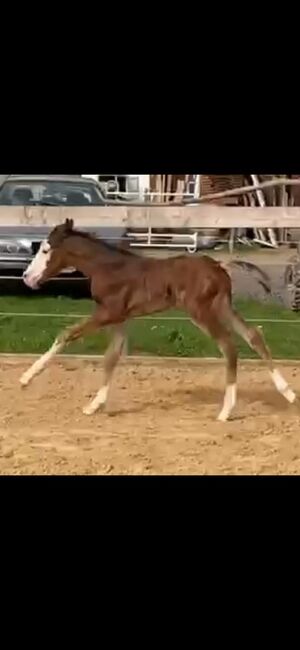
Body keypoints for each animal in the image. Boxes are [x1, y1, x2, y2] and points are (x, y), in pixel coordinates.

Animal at [20, 218, 296, 420]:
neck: (108, 268)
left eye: (46, 249)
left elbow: (66, 334)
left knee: (229, 347)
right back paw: (288, 393)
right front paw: (94, 405)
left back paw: (226, 411)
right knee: (253, 336)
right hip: (222, 306)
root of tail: (220, 266)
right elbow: (111, 358)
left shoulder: (107, 313)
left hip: (201, 312)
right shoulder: (121, 318)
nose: (27, 277)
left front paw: (26, 379)